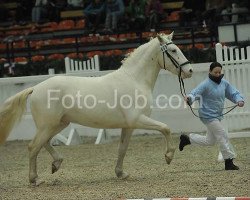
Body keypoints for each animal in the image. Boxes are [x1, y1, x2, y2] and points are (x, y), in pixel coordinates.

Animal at [0, 32, 193, 185]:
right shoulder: (137, 120)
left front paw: (121, 173)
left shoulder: (128, 126)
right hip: (48, 125)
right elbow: (165, 128)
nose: (189, 71)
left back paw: (56, 164)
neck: (134, 79)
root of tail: (35, 88)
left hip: (58, 124)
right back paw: (35, 179)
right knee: (33, 147)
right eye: (173, 50)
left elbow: (122, 149)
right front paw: (168, 156)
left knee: (44, 143)